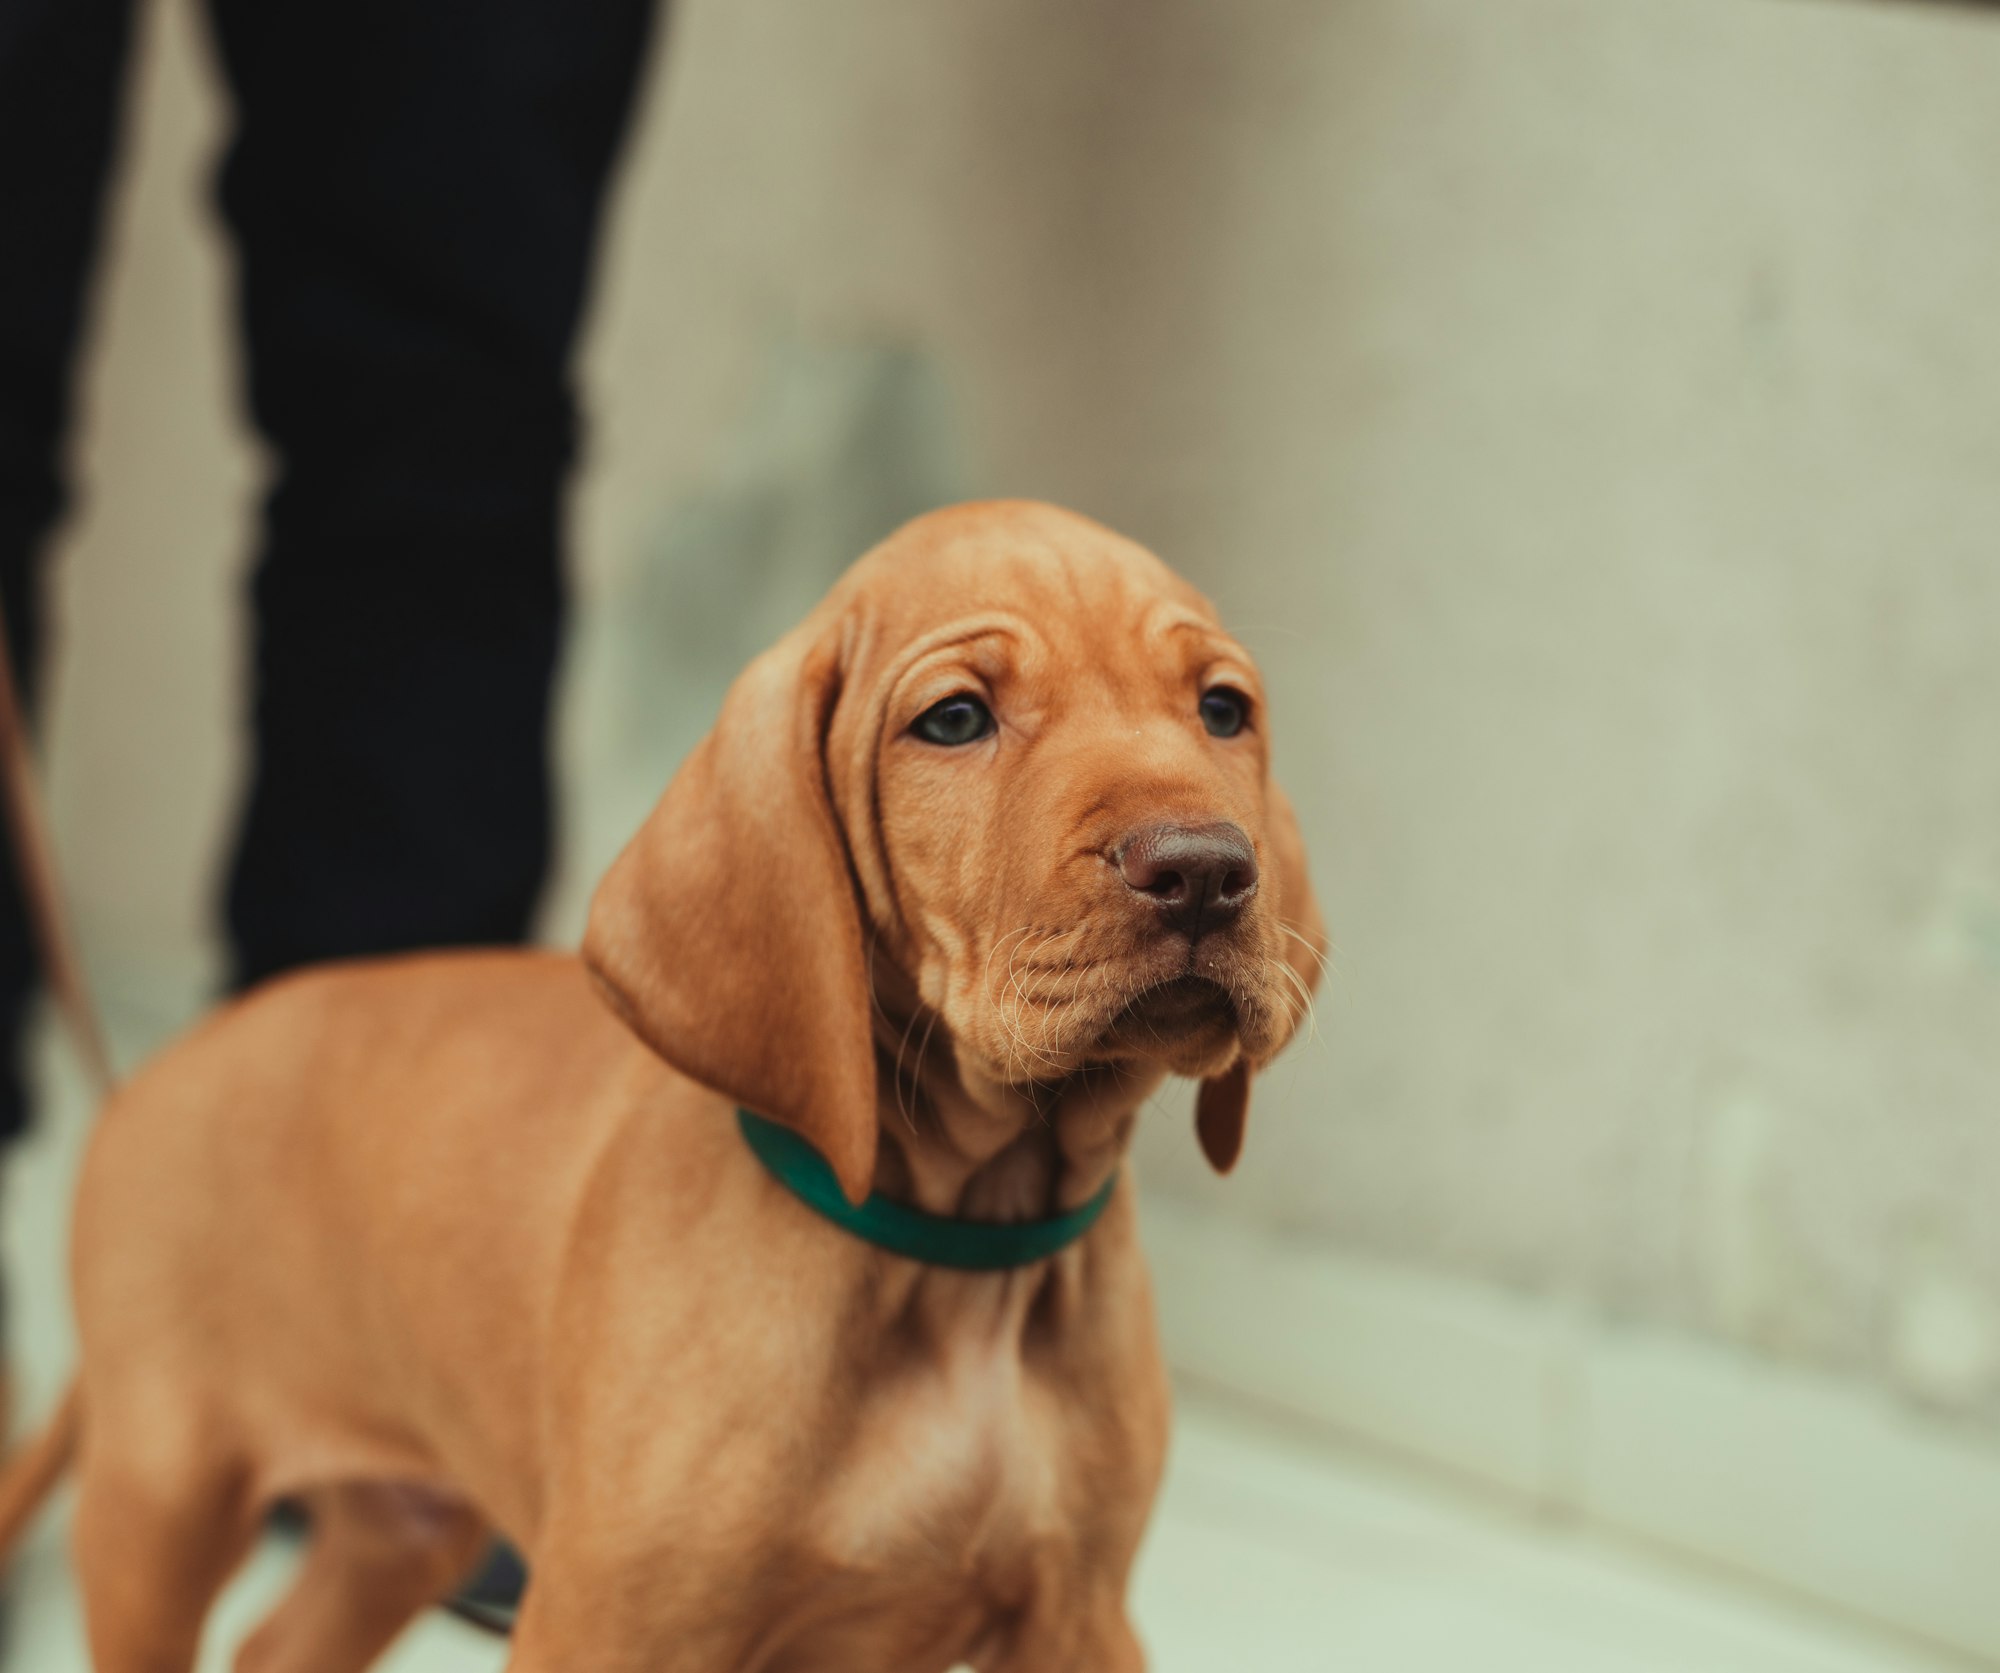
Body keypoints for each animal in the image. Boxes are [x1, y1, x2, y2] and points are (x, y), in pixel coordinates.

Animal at [0, 500, 1320, 1673]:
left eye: (1221, 710)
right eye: (953, 718)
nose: (1203, 870)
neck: (956, 1255)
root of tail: (145, 1077)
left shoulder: (1078, 1616)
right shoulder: (613, 1623)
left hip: (403, 1517)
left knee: (282, 1641)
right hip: (161, 1495)